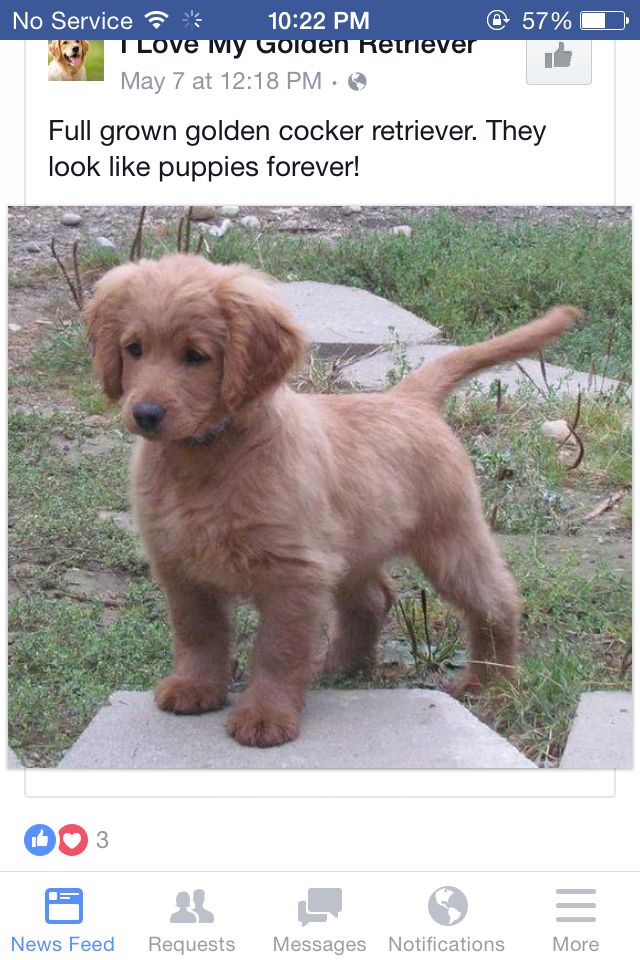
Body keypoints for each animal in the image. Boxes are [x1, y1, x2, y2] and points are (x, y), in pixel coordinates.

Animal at [86, 255, 580, 752]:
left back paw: (491, 682)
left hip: (450, 537)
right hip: (351, 546)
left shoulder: (292, 573)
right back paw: (339, 666)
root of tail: (409, 400)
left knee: (495, 599)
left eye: (195, 356)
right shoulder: (180, 566)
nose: (145, 414)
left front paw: (266, 716)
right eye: (134, 349)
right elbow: (197, 633)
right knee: (372, 599)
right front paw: (195, 687)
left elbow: (277, 650)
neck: (207, 456)